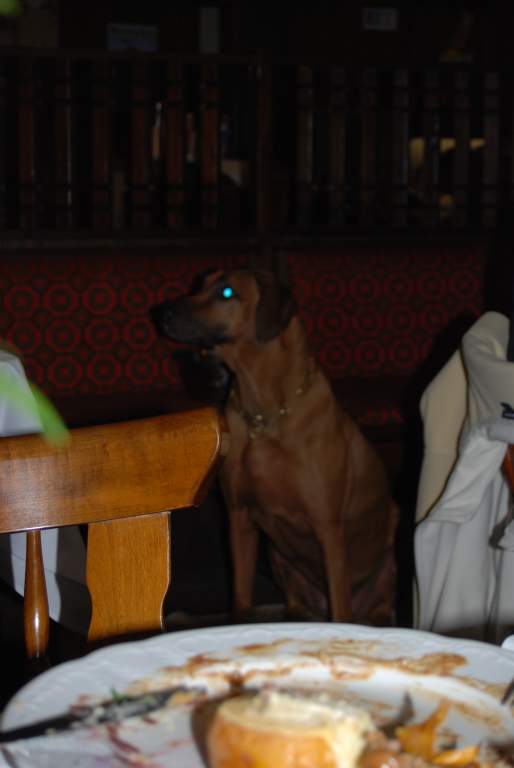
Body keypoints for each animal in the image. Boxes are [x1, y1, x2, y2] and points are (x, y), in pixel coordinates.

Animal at [155, 269, 398, 624]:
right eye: (201, 283)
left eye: (226, 292)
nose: (162, 313)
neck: (263, 412)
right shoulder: (239, 517)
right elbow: (241, 599)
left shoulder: (328, 527)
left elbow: (340, 607)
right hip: (278, 559)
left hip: (385, 564)